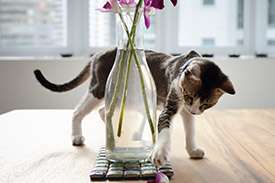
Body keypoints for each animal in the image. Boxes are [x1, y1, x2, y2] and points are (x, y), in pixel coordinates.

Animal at [34, 47, 235, 166]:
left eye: (207, 104)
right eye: (189, 95)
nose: (193, 109)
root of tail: (99, 53)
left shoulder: (186, 110)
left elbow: (190, 130)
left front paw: (193, 149)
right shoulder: (173, 103)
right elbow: (165, 129)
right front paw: (160, 153)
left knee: (103, 111)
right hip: (100, 89)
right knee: (78, 111)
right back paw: (77, 136)